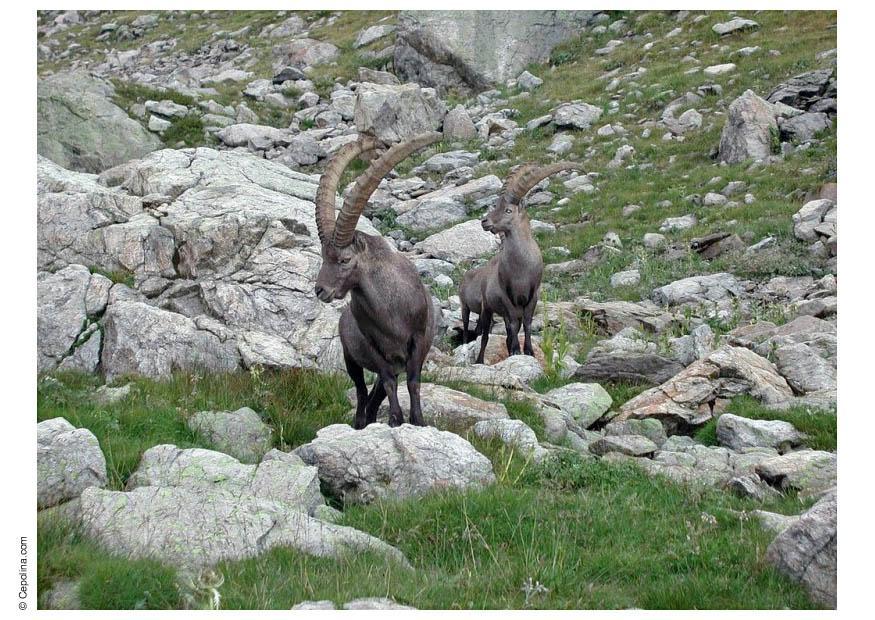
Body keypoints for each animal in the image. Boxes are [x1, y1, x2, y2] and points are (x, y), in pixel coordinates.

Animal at [314, 132, 441, 429]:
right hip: (351, 358)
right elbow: (389, 381)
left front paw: (417, 420)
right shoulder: (373, 346)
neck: (390, 311)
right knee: (363, 392)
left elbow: (414, 382)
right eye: (323, 255)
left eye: (345, 259)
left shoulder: (417, 340)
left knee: (374, 394)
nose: (320, 290)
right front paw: (395, 420)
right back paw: (362, 422)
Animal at [459, 162, 581, 364]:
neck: (521, 268)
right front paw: (517, 351)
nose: (485, 221)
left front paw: (529, 351)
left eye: (508, 210)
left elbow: (527, 323)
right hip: (487, 308)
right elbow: (515, 323)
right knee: (486, 335)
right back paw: (480, 360)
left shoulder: (532, 295)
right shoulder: (507, 296)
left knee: (507, 330)